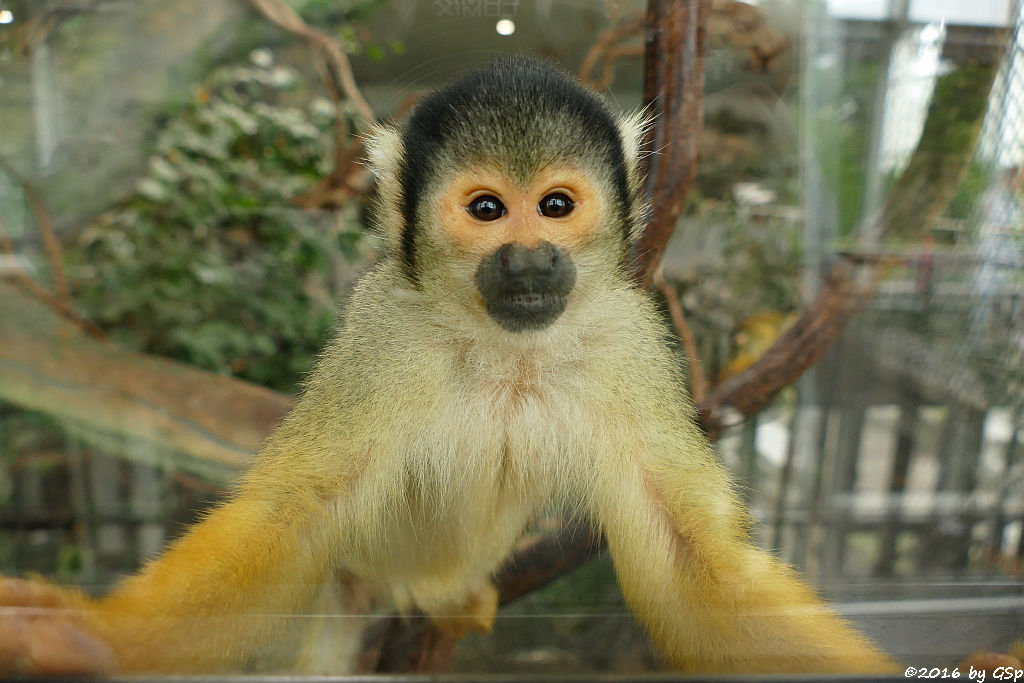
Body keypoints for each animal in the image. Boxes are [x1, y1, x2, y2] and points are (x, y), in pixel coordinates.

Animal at [0, 56, 897, 675]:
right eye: (488, 209)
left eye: (556, 207)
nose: (530, 259)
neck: (507, 345)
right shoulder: (382, 337)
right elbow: (288, 520)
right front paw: (92, 640)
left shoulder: (632, 340)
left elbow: (688, 566)